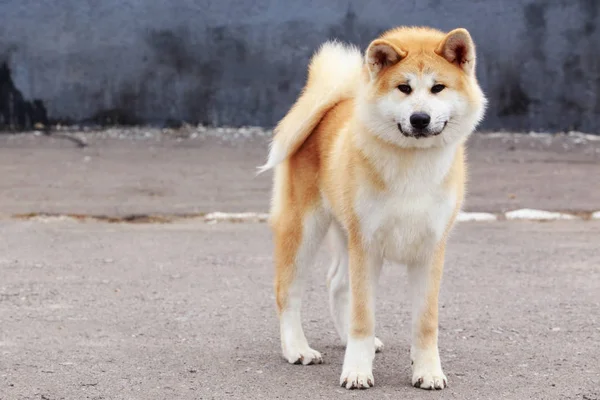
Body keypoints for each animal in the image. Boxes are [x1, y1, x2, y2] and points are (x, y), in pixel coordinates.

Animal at [258, 25, 488, 390]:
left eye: (437, 87)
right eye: (404, 88)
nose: (419, 118)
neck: (412, 165)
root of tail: (331, 106)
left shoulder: (429, 250)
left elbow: (425, 322)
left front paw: (427, 371)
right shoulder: (366, 246)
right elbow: (363, 317)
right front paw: (356, 371)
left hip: (344, 233)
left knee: (336, 284)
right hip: (305, 229)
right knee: (287, 291)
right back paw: (297, 349)